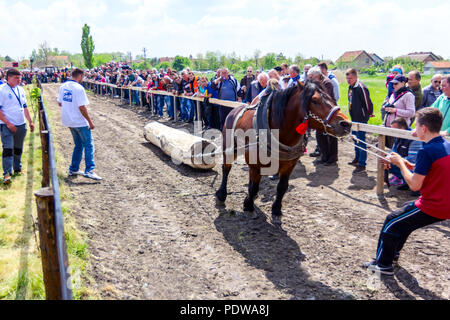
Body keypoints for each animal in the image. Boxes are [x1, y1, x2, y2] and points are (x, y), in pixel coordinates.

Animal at [214, 79, 352, 221]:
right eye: (315, 100)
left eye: (331, 97)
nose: (346, 124)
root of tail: (235, 110)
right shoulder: (256, 165)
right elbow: (254, 187)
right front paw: (249, 206)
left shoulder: (289, 165)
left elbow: (281, 187)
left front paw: (276, 209)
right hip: (229, 148)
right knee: (226, 168)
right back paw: (221, 194)